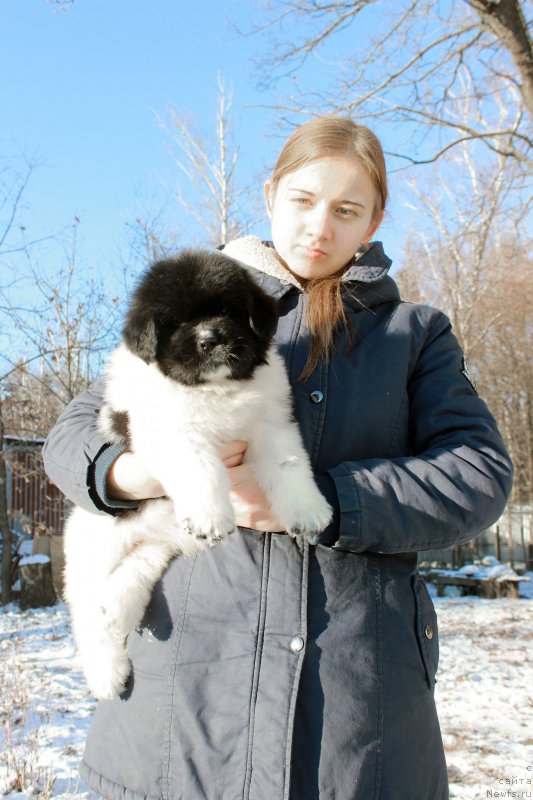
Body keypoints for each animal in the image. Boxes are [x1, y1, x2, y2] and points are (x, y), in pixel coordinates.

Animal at [63, 250, 332, 700]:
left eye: (228, 311)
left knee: (134, 573)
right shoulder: (171, 432)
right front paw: (212, 515)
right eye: (174, 323)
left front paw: (308, 512)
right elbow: (200, 468)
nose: (211, 339)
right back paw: (106, 673)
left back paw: (115, 609)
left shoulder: (271, 424)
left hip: (160, 545)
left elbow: (289, 466)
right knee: (85, 612)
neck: (214, 391)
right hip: (97, 544)